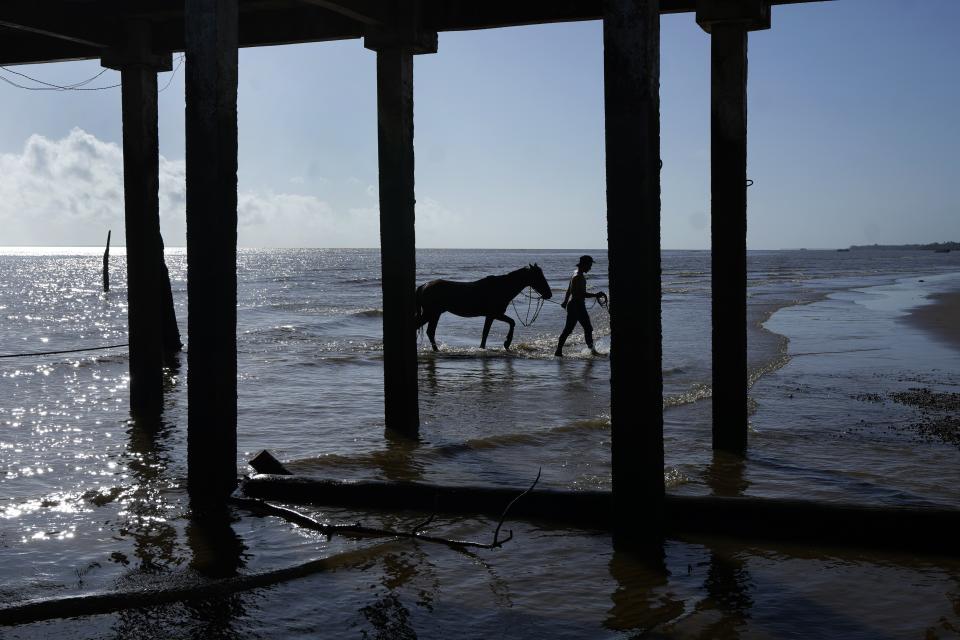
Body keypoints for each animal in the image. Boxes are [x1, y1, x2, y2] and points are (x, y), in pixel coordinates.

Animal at [414, 264, 556, 352]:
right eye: (538, 277)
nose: (549, 294)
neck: (501, 287)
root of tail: (424, 285)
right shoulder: (494, 315)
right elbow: (504, 325)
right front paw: (506, 343)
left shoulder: (492, 315)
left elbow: (488, 332)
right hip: (432, 313)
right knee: (429, 331)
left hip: (433, 314)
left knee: (429, 332)